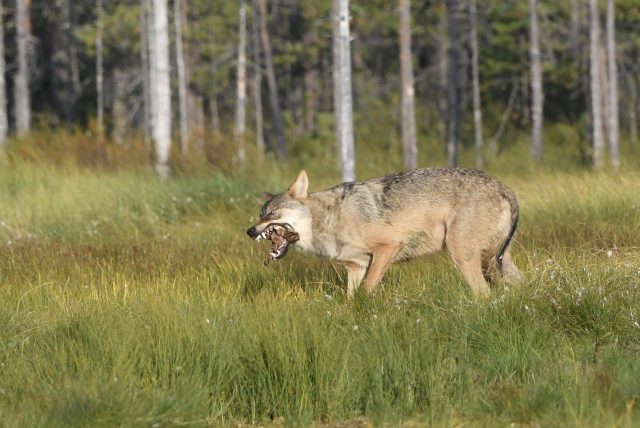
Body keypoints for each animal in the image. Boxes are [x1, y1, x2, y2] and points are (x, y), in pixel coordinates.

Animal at [248, 167, 524, 298]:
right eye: (261, 214)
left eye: (273, 214)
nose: (250, 231)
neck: (331, 218)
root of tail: (506, 188)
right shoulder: (355, 267)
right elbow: (351, 298)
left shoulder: (388, 248)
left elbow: (367, 289)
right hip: (498, 261)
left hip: (463, 255)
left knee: (483, 294)